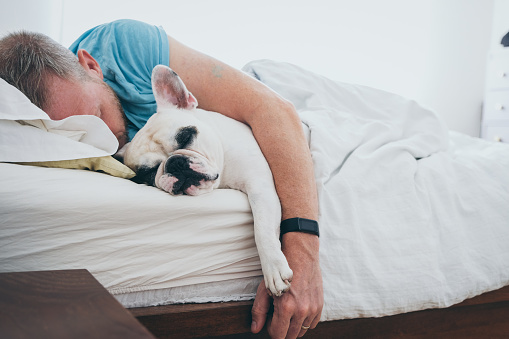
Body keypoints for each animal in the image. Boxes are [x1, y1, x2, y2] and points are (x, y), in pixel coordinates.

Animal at [118, 64, 292, 298]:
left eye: (186, 136)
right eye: (148, 173)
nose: (175, 163)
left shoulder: (260, 188)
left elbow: (262, 230)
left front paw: (273, 268)